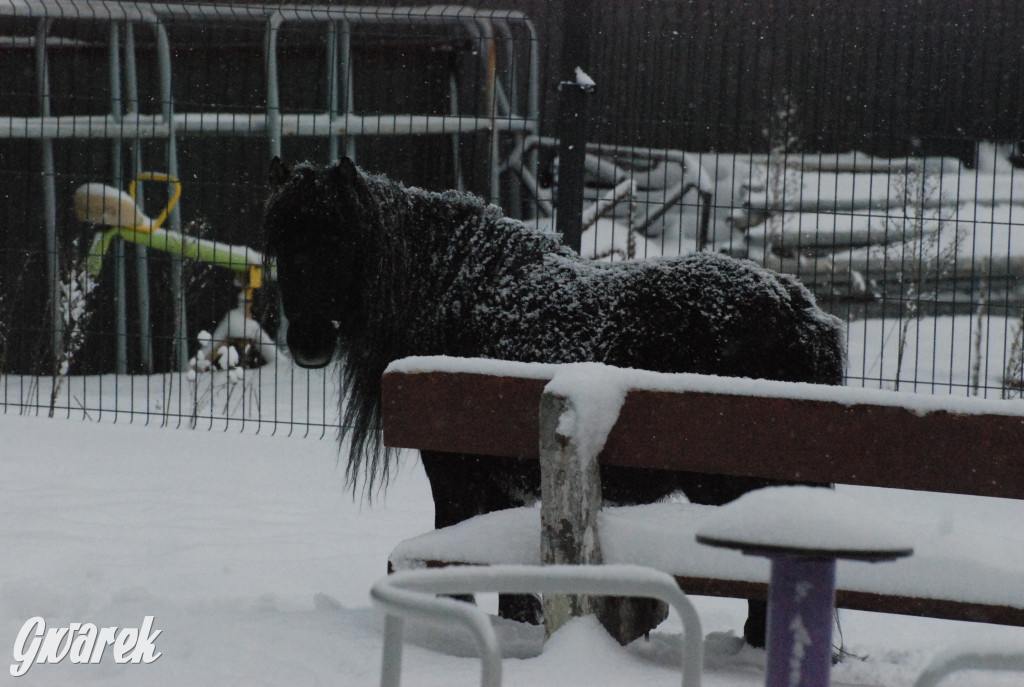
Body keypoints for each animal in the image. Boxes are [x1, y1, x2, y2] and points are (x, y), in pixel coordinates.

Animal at [264, 158, 847, 647]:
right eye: (280, 243)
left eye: (340, 240)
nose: (308, 342)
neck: (452, 290)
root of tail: (800, 308)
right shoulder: (502, 482)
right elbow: (514, 592)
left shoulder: (455, 473)